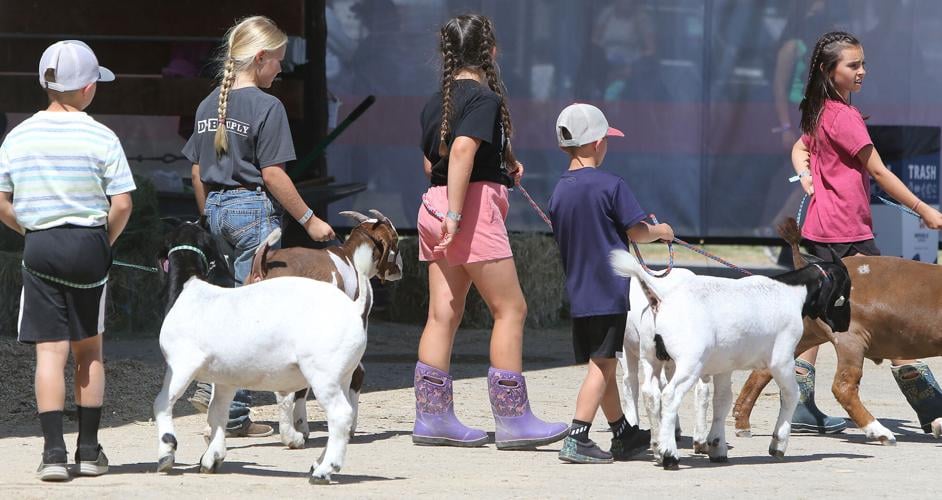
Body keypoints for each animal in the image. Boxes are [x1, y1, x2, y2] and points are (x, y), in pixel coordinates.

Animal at [612, 250, 856, 468]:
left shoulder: (723, 366)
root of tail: (661, 299)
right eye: (845, 291)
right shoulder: (782, 358)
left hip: (651, 357)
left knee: (650, 393)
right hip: (689, 362)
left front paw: (717, 447)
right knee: (669, 394)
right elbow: (791, 394)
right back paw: (669, 455)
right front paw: (778, 444)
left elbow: (722, 400)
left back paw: (657, 447)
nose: (846, 325)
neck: (790, 293)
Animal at [732, 217, 942, 444]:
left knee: (764, 370)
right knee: (843, 386)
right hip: (851, 338)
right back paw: (879, 431)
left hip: (808, 332)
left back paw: (742, 421)